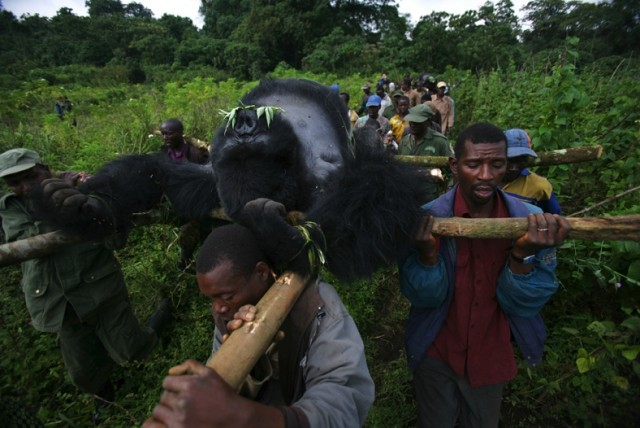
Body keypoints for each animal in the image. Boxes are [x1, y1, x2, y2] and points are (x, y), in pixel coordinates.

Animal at [38, 78, 430, 282]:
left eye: (257, 143)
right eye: (238, 147)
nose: (243, 120)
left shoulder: (324, 171)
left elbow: (373, 196)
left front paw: (288, 240)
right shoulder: (211, 171)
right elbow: (162, 176)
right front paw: (87, 207)